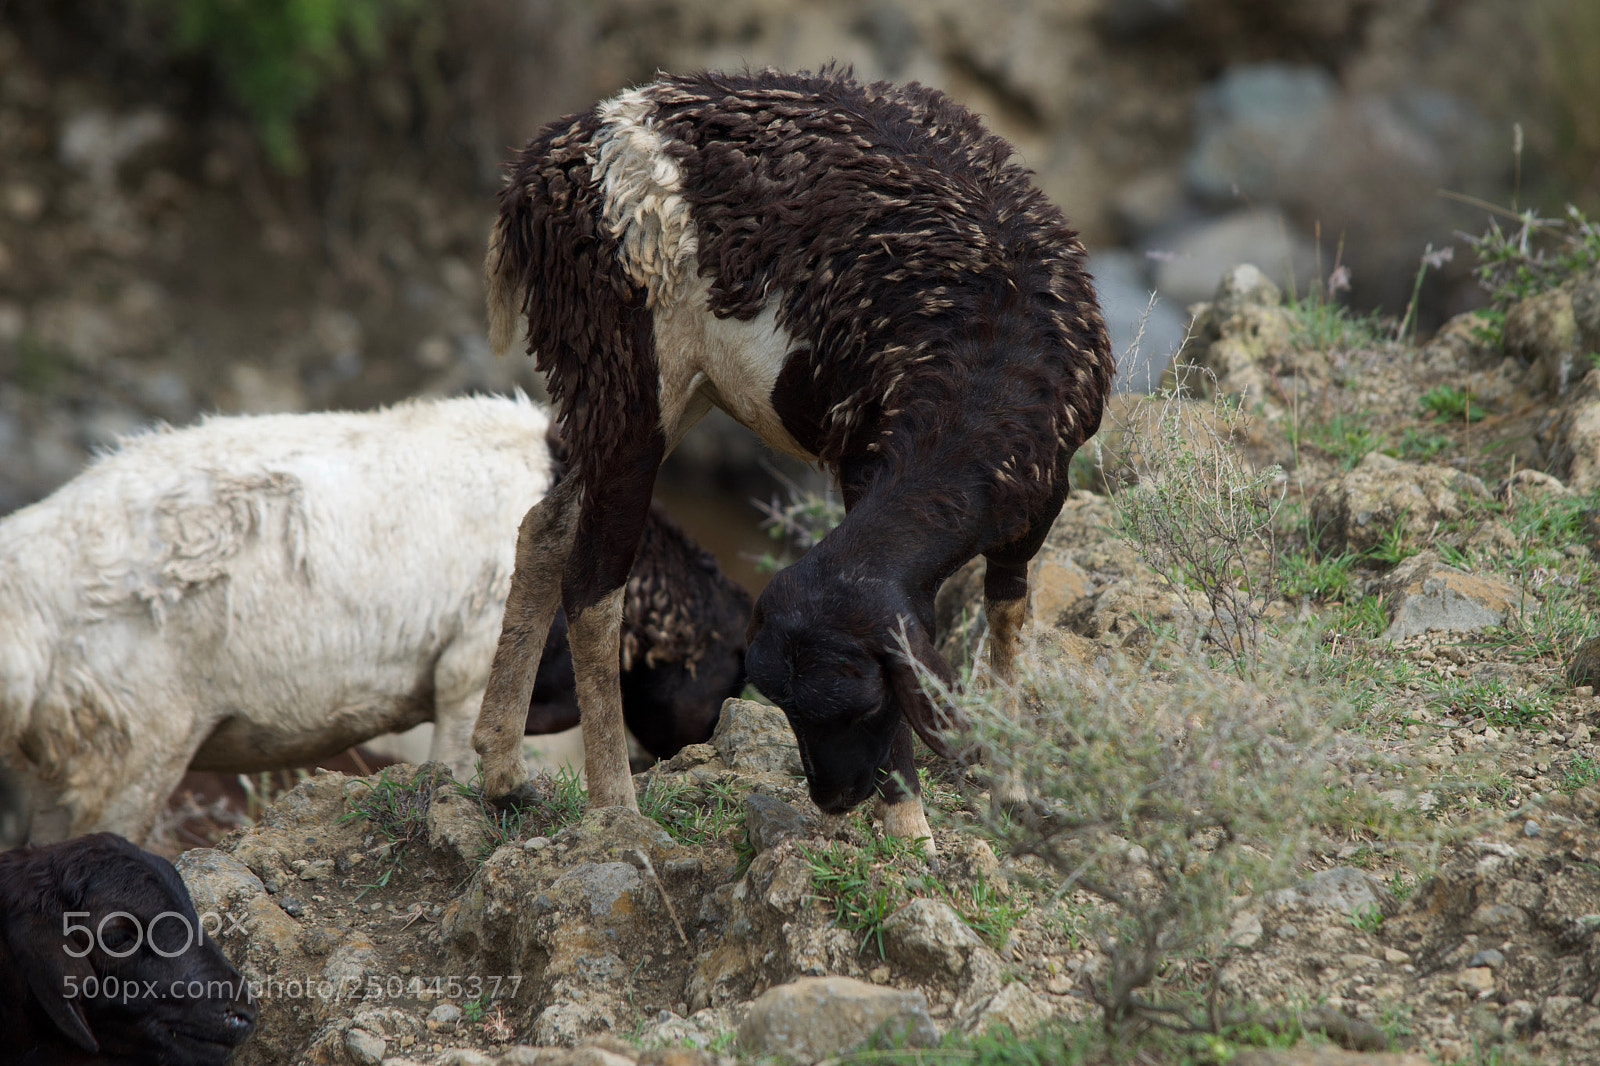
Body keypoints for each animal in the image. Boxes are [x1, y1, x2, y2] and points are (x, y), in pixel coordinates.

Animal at [473, 68, 1112, 849]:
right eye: (794, 714)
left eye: (863, 707)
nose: (834, 799)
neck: (987, 371)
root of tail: (539, 170)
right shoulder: (865, 464)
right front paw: (912, 833)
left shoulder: (1038, 499)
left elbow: (1009, 617)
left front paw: (1013, 787)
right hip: (623, 365)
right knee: (595, 582)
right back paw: (616, 809)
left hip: (652, 391)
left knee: (545, 527)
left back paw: (502, 770)